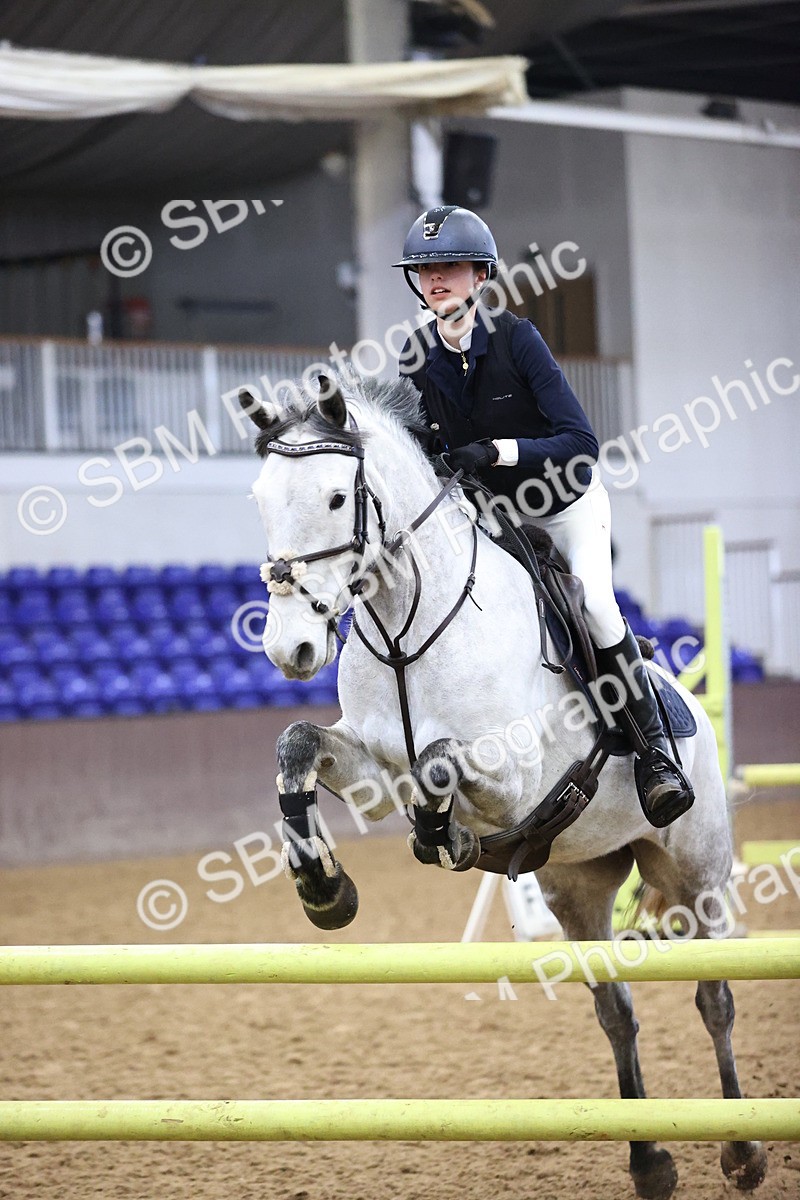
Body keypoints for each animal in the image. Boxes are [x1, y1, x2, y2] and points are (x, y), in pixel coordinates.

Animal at [239, 371, 767, 1200]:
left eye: (335, 497)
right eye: (261, 498)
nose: (288, 647)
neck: (406, 629)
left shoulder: (513, 774)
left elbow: (439, 761)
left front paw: (445, 837)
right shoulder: (374, 773)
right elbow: (297, 745)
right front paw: (325, 890)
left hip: (697, 872)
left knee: (715, 995)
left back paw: (743, 1149)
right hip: (579, 887)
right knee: (615, 1010)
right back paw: (649, 1159)